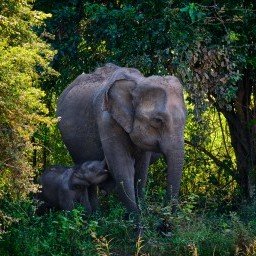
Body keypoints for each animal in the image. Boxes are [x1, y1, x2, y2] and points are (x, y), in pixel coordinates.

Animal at [57, 63, 186, 216]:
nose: (165, 214)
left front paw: (142, 212)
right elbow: (122, 165)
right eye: (158, 120)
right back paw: (95, 215)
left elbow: (141, 169)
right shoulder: (107, 121)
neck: (137, 82)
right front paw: (135, 217)